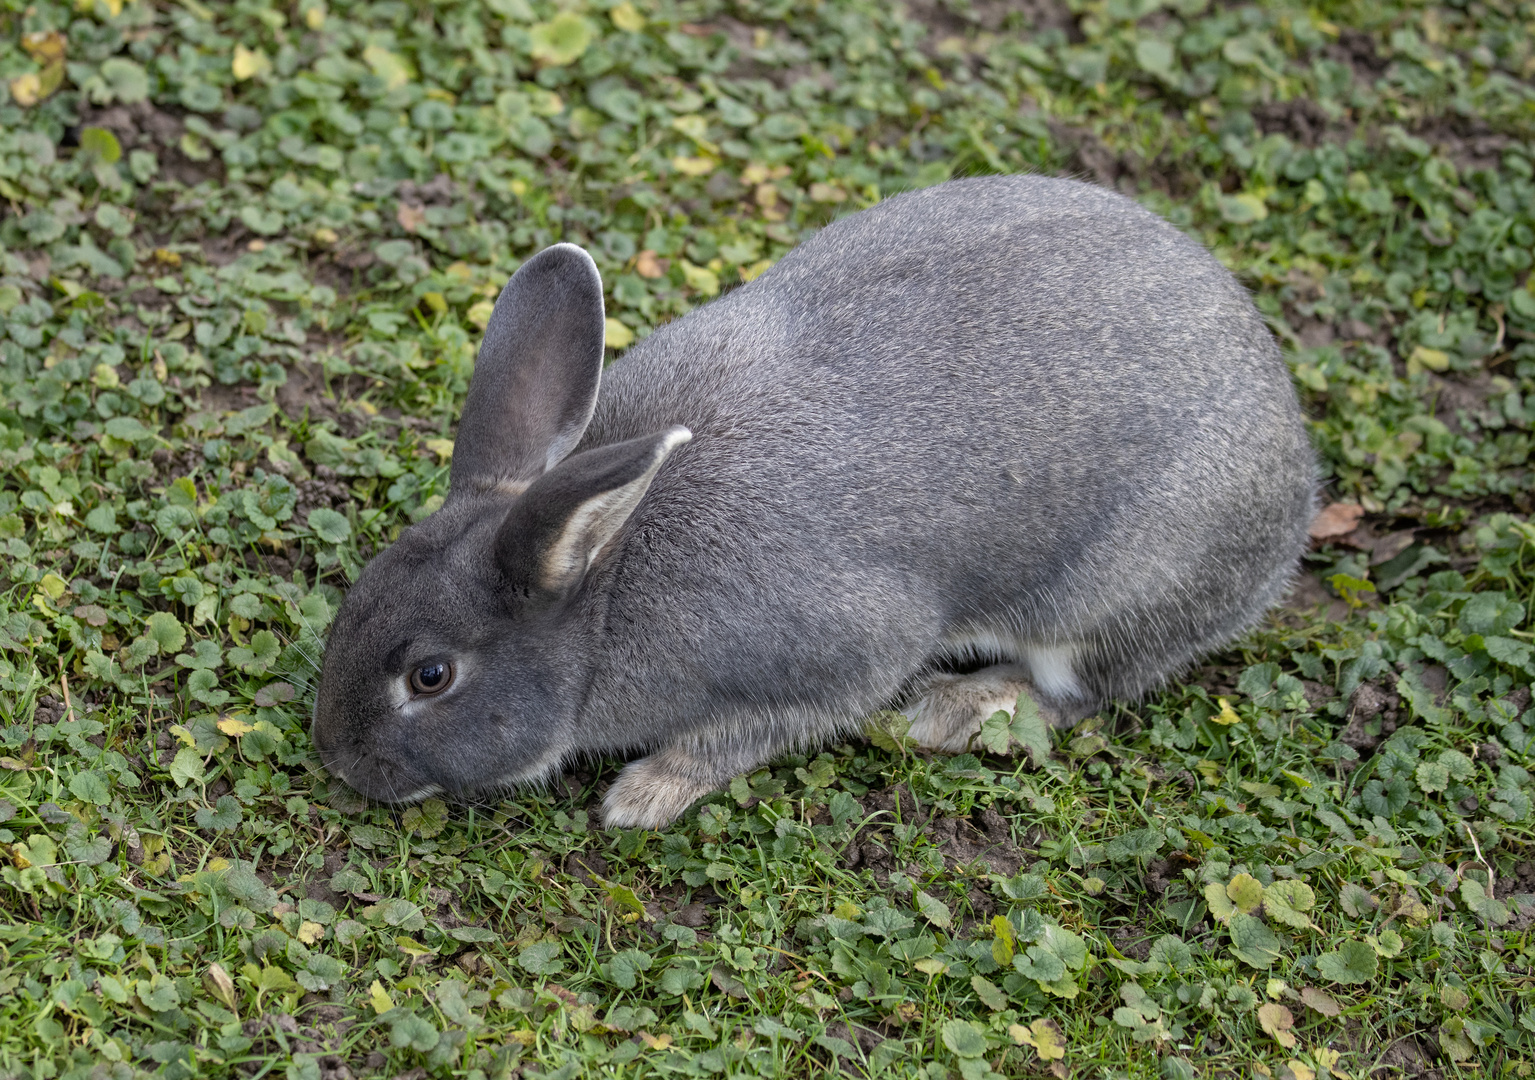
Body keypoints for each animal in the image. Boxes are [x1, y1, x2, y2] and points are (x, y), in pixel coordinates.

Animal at [311, 171, 1320, 828]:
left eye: (430, 677)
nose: (338, 759)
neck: (599, 589)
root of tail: (1293, 483)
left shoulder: (843, 655)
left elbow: (757, 729)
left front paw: (645, 794)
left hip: (1111, 592)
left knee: (1079, 689)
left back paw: (952, 710)